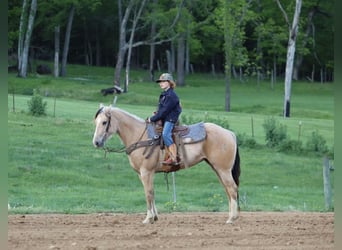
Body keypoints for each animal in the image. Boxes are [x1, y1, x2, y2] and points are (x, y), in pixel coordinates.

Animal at [91, 104, 240, 225]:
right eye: (96, 122)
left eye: (104, 122)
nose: (96, 142)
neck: (141, 136)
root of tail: (230, 133)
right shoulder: (143, 174)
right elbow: (152, 192)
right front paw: (155, 217)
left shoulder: (146, 172)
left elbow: (148, 193)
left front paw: (148, 218)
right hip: (217, 169)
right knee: (227, 190)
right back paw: (230, 216)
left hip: (223, 169)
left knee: (232, 188)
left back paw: (232, 218)